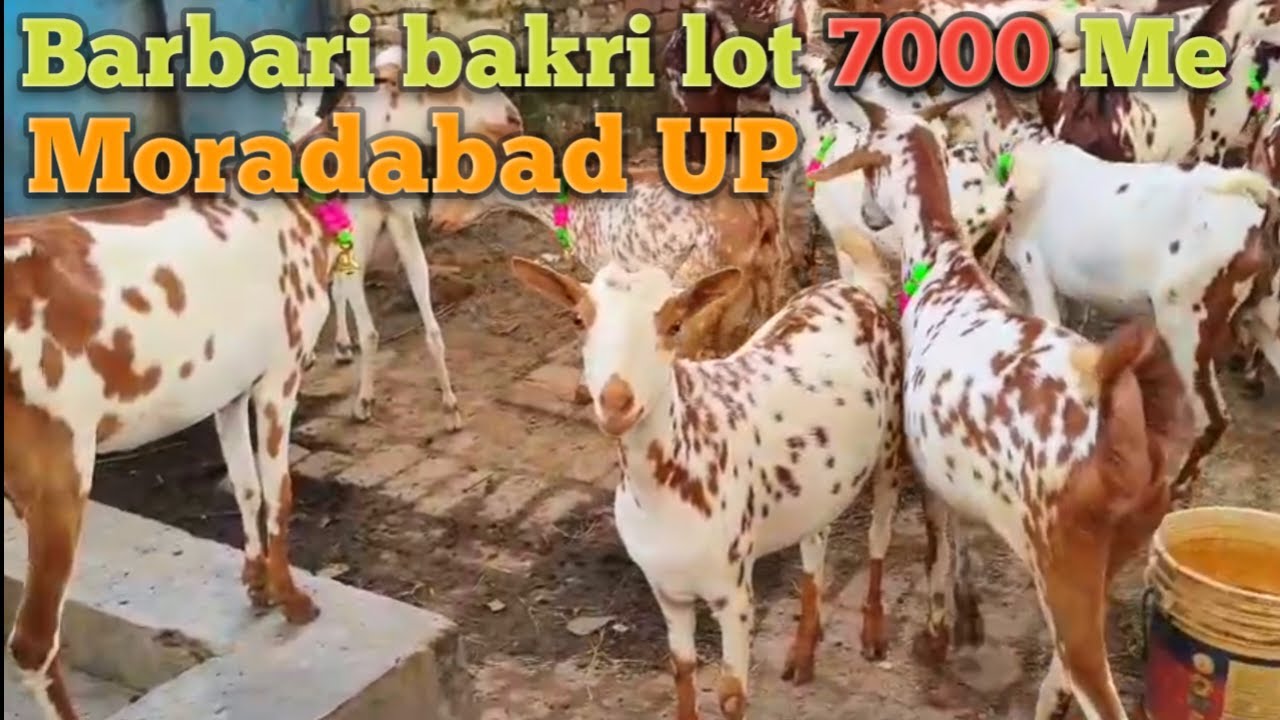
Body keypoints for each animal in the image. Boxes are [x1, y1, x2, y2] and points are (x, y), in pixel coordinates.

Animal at [282, 44, 523, 426]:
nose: (514, 120)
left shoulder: (401, 225)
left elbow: (431, 325)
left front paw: (451, 407)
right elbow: (369, 331)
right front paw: (364, 403)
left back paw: (341, 346)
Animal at [508, 248, 904, 720]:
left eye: (675, 325)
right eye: (577, 319)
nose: (617, 403)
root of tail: (854, 287)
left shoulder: (733, 592)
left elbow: (731, 695)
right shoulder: (665, 589)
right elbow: (681, 669)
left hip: (892, 438)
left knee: (879, 535)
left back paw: (873, 632)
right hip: (818, 482)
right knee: (815, 547)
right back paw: (803, 654)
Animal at [811, 104, 1192, 720]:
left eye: (868, 162)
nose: (870, 214)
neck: (944, 272)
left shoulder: (927, 472)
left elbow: (939, 553)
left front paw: (939, 635)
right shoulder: (961, 471)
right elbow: (963, 543)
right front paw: (971, 619)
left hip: (1062, 555)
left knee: (1095, 685)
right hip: (1122, 544)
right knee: (1064, 670)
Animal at [942, 84, 1279, 501]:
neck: (1021, 149)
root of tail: (1255, 216)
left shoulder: (1036, 275)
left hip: (1187, 322)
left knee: (1212, 417)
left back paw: (1177, 485)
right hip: (1264, 313)